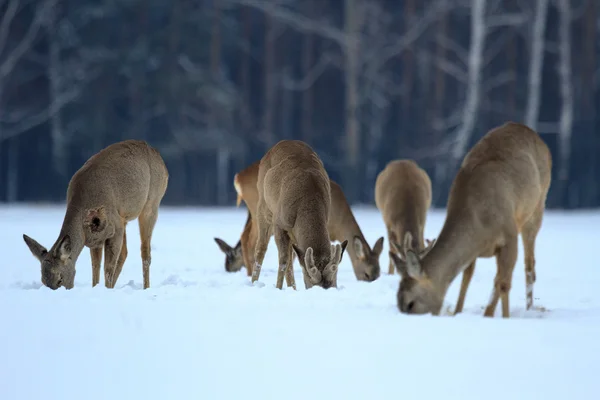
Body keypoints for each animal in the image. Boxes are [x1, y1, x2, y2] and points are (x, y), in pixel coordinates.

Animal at [22, 139, 169, 290]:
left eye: (60, 278)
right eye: (43, 281)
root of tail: (158, 156)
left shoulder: (114, 225)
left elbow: (107, 267)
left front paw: (106, 289)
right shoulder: (95, 237)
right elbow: (95, 266)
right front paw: (96, 287)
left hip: (151, 204)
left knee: (145, 252)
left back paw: (146, 287)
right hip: (124, 218)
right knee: (124, 253)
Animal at [214, 159, 384, 282]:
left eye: (378, 274)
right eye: (367, 274)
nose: (371, 281)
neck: (339, 220)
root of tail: (238, 177)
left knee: (245, 236)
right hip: (258, 210)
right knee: (250, 240)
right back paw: (250, 275)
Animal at [251, 139, 350, 290]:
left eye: (334, 280)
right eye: (309, 277)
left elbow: (290, 259)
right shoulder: (279, 222)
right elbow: (283, 260)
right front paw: (278, 288)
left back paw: (292, 287)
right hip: (263, 205)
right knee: (261, 247)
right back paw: (253, 283)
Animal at [392, 122, 552, 318]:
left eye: (410, 303)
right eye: (398, 303)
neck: (479, 222)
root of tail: (530, 131)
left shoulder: (509, 234)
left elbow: (504, 283)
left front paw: (501, 317)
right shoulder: (474, 250)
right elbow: (467, 278)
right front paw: (458, 312)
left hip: (537, 207)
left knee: (529, 265)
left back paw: (528, 308)